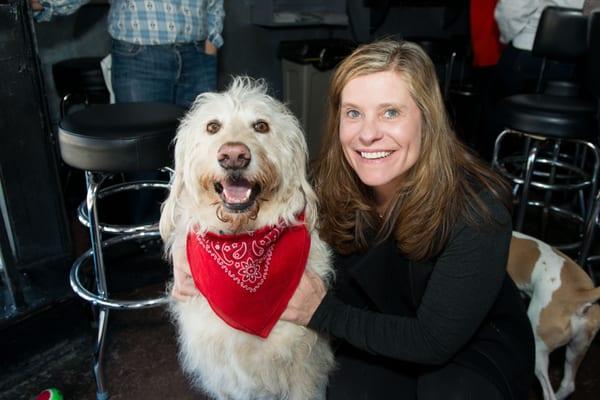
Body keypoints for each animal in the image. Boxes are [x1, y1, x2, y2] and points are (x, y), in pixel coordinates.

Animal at [159, 77, 336, 400]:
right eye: (213, 126)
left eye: (261, 126)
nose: (233, 156)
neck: (242, 242)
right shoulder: (225, 378)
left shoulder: (306, 371)